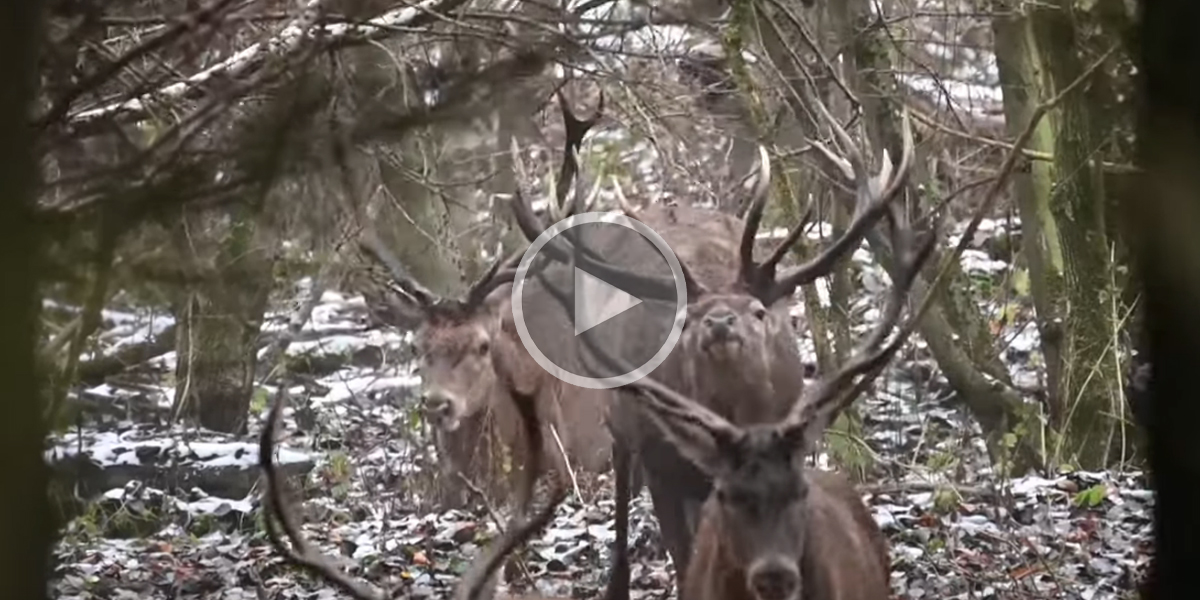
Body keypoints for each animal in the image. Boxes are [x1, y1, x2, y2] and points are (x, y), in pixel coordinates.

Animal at [506, 98, 907, 600]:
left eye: (759, 310)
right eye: (687, 318)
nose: (718, 322)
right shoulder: (661, 462)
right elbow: (684, 558)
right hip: (622, 419)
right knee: (622, 483)